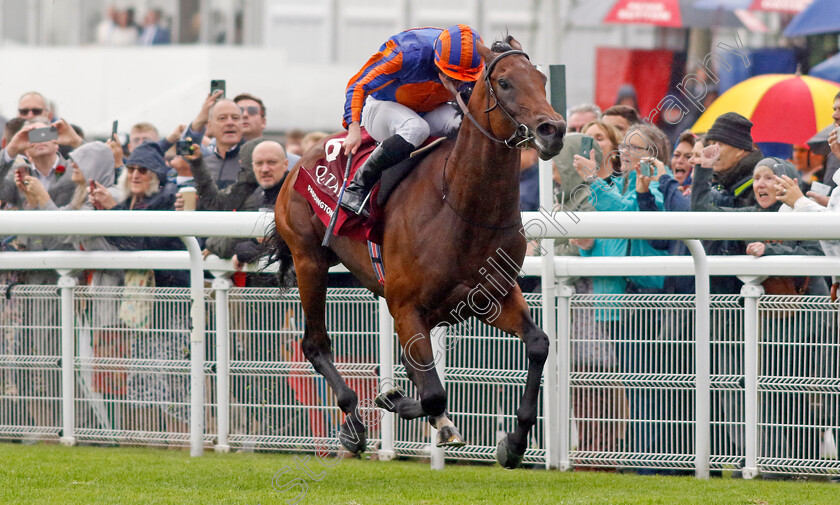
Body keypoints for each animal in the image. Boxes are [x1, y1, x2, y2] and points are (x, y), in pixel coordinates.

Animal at [272, 36, 568, 468]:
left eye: (543, 80)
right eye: (505, 83)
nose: (553, 129)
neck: (461, 206)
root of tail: (298, 161)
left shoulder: (492, 296)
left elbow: (538, 344)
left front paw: (513, 442)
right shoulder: (407, 306)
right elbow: (432, 393)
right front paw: (399, 403)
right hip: (309, 259)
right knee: (315, 343)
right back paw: (354, 426)